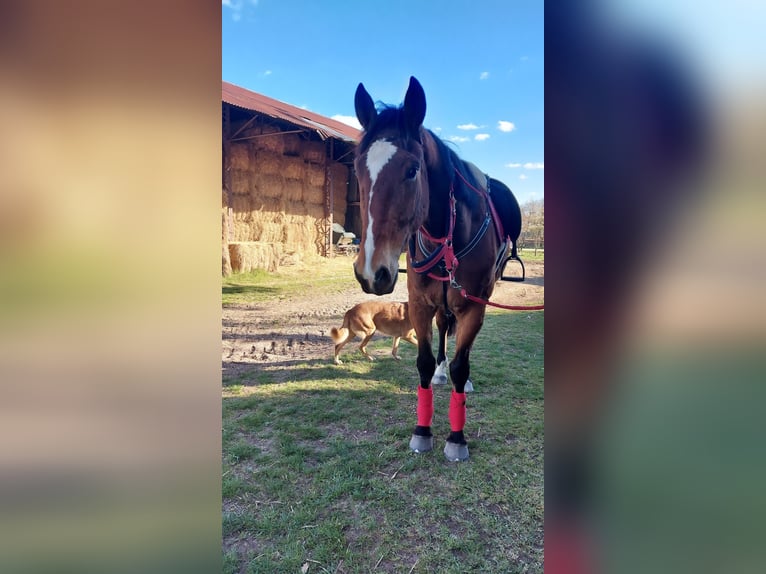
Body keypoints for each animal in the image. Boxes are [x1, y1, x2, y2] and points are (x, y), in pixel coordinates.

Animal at [352, 77, 520, 464]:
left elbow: (462, 363)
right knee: (445, 329)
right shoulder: (419, 304)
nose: (371, 271)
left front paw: (456, 438)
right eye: (357, 168)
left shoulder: (474, 305)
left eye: (412, 169)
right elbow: (425, 363)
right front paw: (422, 431)